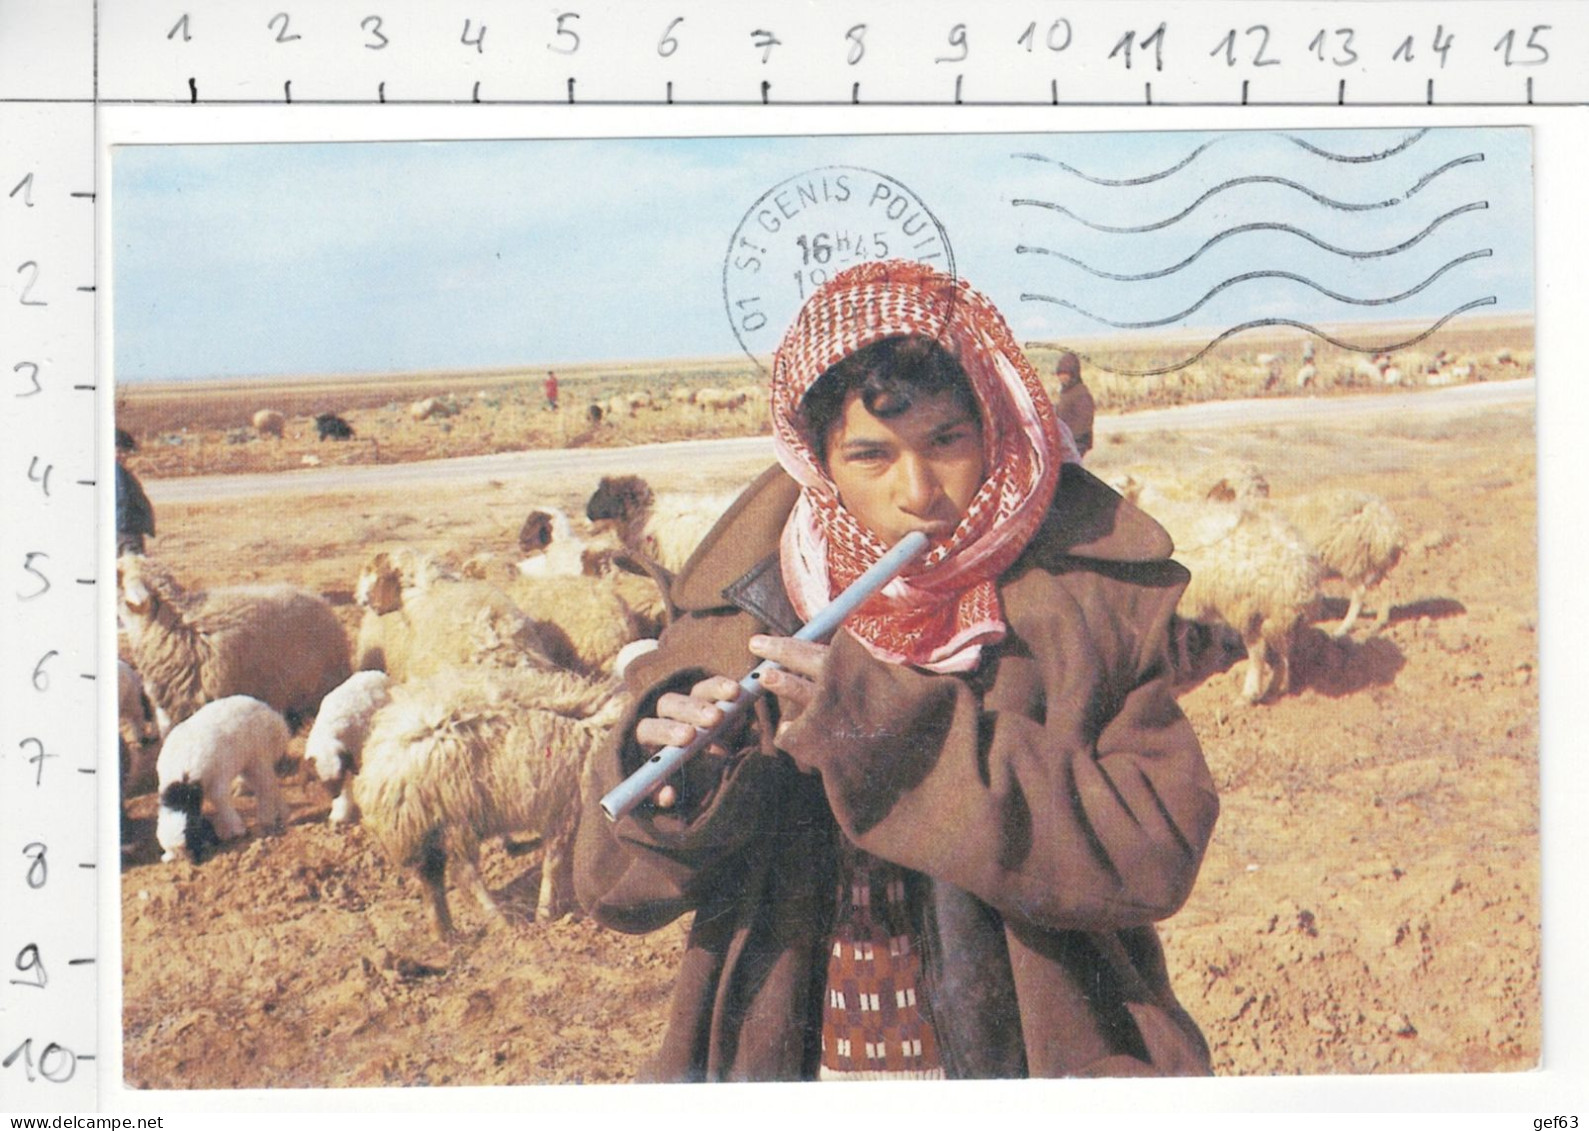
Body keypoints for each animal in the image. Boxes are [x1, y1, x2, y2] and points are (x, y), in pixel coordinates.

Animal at [154, 692, 289, 864]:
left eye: (192, 841)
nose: (195, 863)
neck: (182, 783)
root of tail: (272, 716)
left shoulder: (219, 776)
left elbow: (219, 798)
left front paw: (237, 830)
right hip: (248, 764)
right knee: (268, 786)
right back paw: (283, 815)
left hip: (259, 756)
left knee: (266, 787)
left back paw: (267, 820)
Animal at [305, 667, 392, 826]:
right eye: (323, 783)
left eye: (338, 780)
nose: (334, 795)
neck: (327, 733)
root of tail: (379, 674)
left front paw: (341, 814)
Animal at [357, 663, 629, 934]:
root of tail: (376, 767)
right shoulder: (565, 810)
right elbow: (554, 863)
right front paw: (545, 913)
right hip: (454, 820)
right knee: (464, 874)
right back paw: (499, 920)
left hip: (427, 829)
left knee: (431, 877)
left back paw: (444, 932)